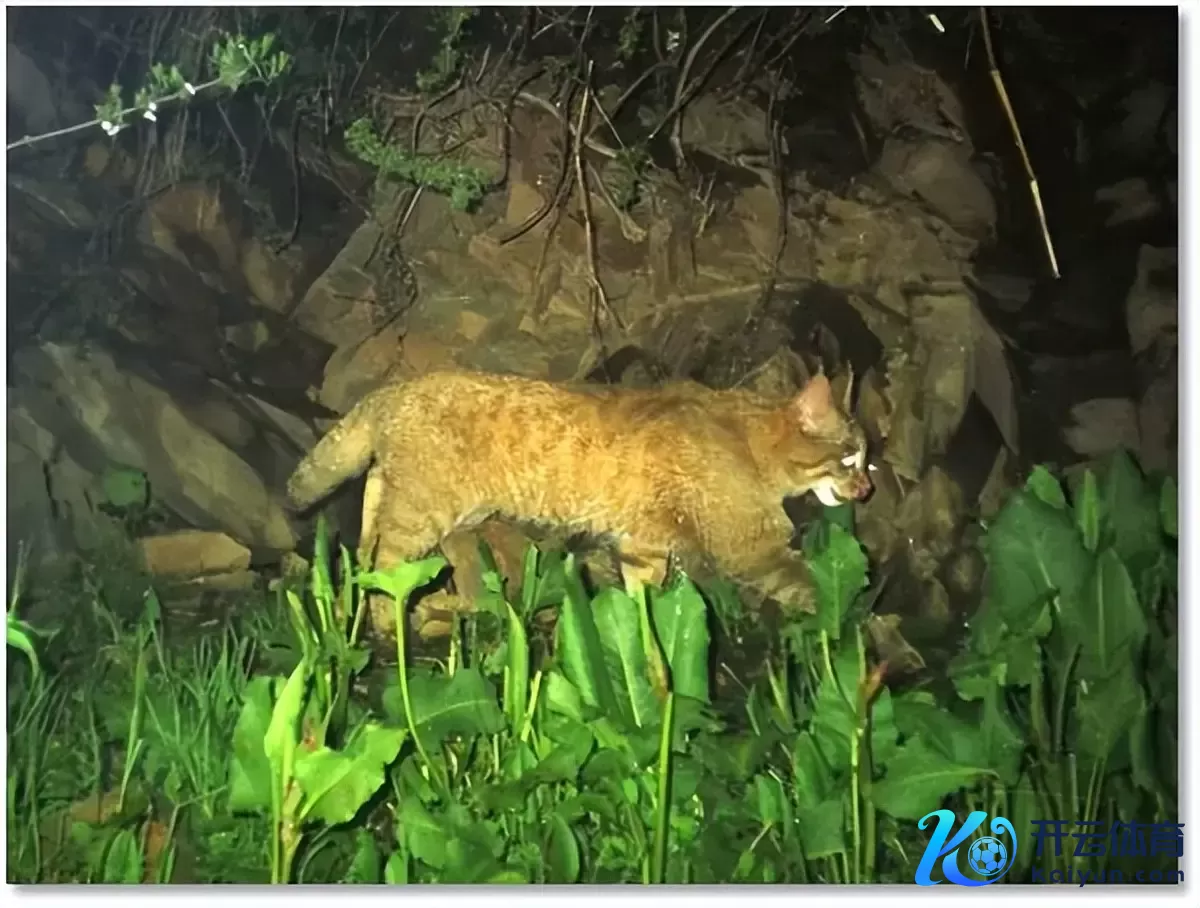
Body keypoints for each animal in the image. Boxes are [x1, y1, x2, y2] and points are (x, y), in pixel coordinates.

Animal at [287, 368, 873, 636]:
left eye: (868, 462)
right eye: (850, 457)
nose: (866, 490)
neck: (746, 441)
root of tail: (394, 388)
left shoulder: (644, 544)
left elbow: (642, 598)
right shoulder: (752, 548)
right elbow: (811, 586)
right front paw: (849, 622)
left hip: (401, 498)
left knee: (364, 552)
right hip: (420, 518)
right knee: (386, 568)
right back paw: (391, 624)